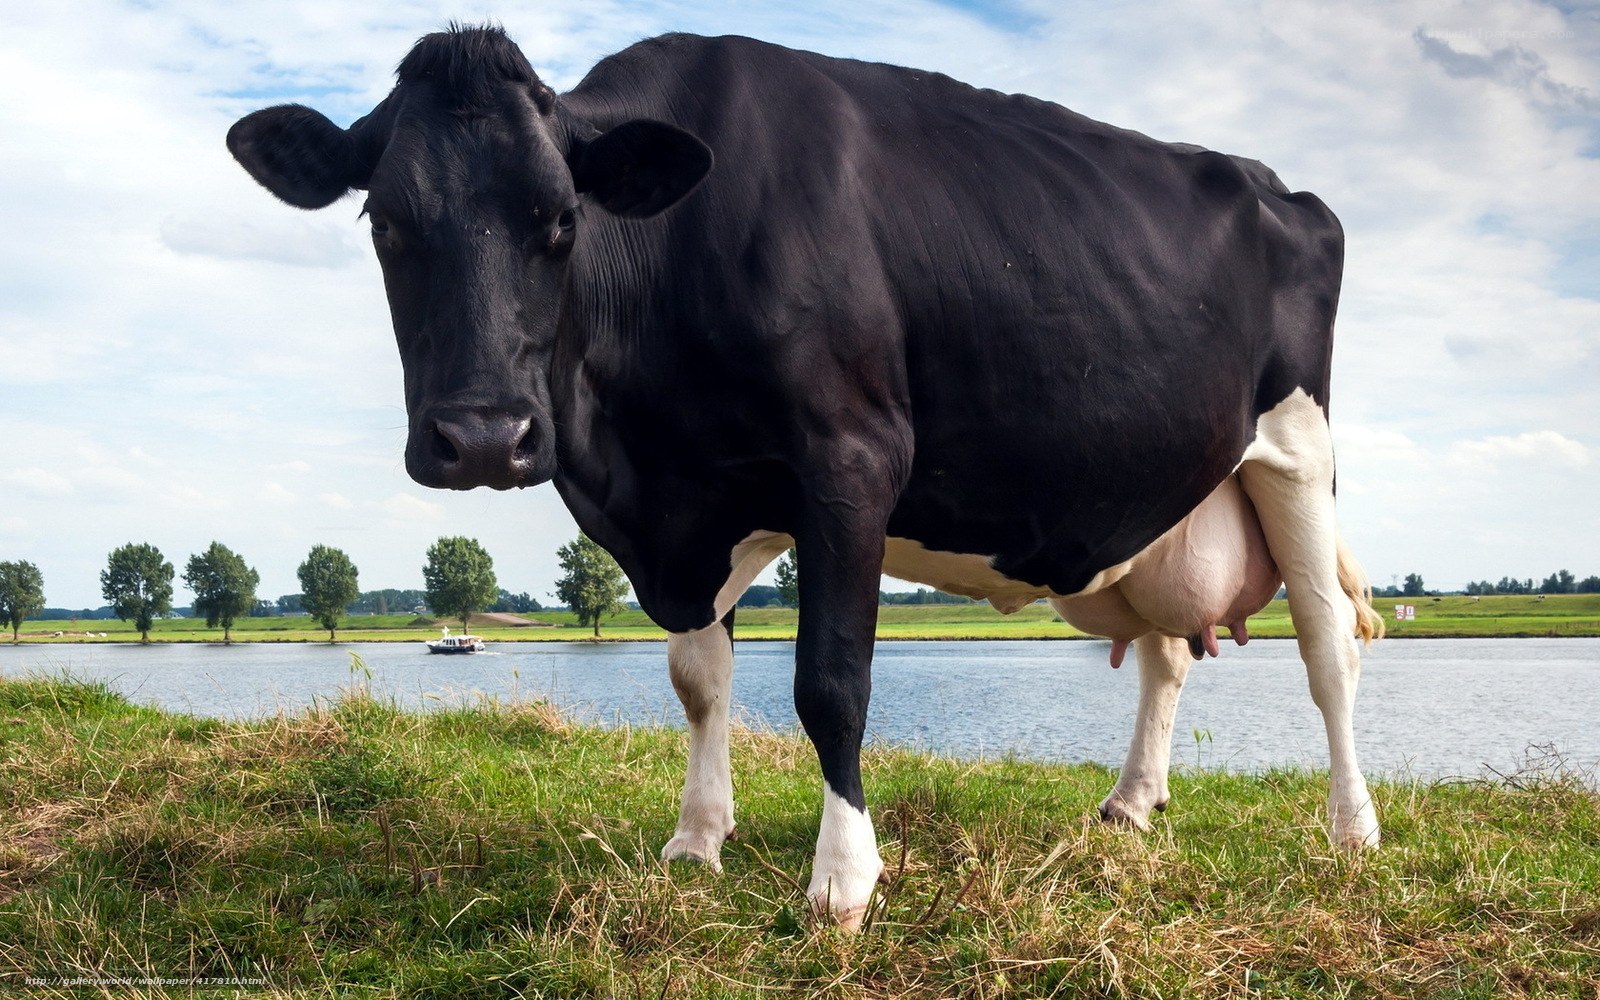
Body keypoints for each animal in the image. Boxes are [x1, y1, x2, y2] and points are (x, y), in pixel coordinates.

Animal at [228, 25, 1385, 929]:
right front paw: (695, 841)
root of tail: (1283, 188)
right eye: (384, 221)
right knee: (1166, 654)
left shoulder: (849, 462)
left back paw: (1351, 828)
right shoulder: (689, 509)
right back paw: (1131, 804)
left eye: (560, 219)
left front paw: (843, 881)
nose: (480, 438)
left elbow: (831, 682)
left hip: (1298, 450)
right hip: (1155, 501)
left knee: (1327, 649)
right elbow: (699, 682)